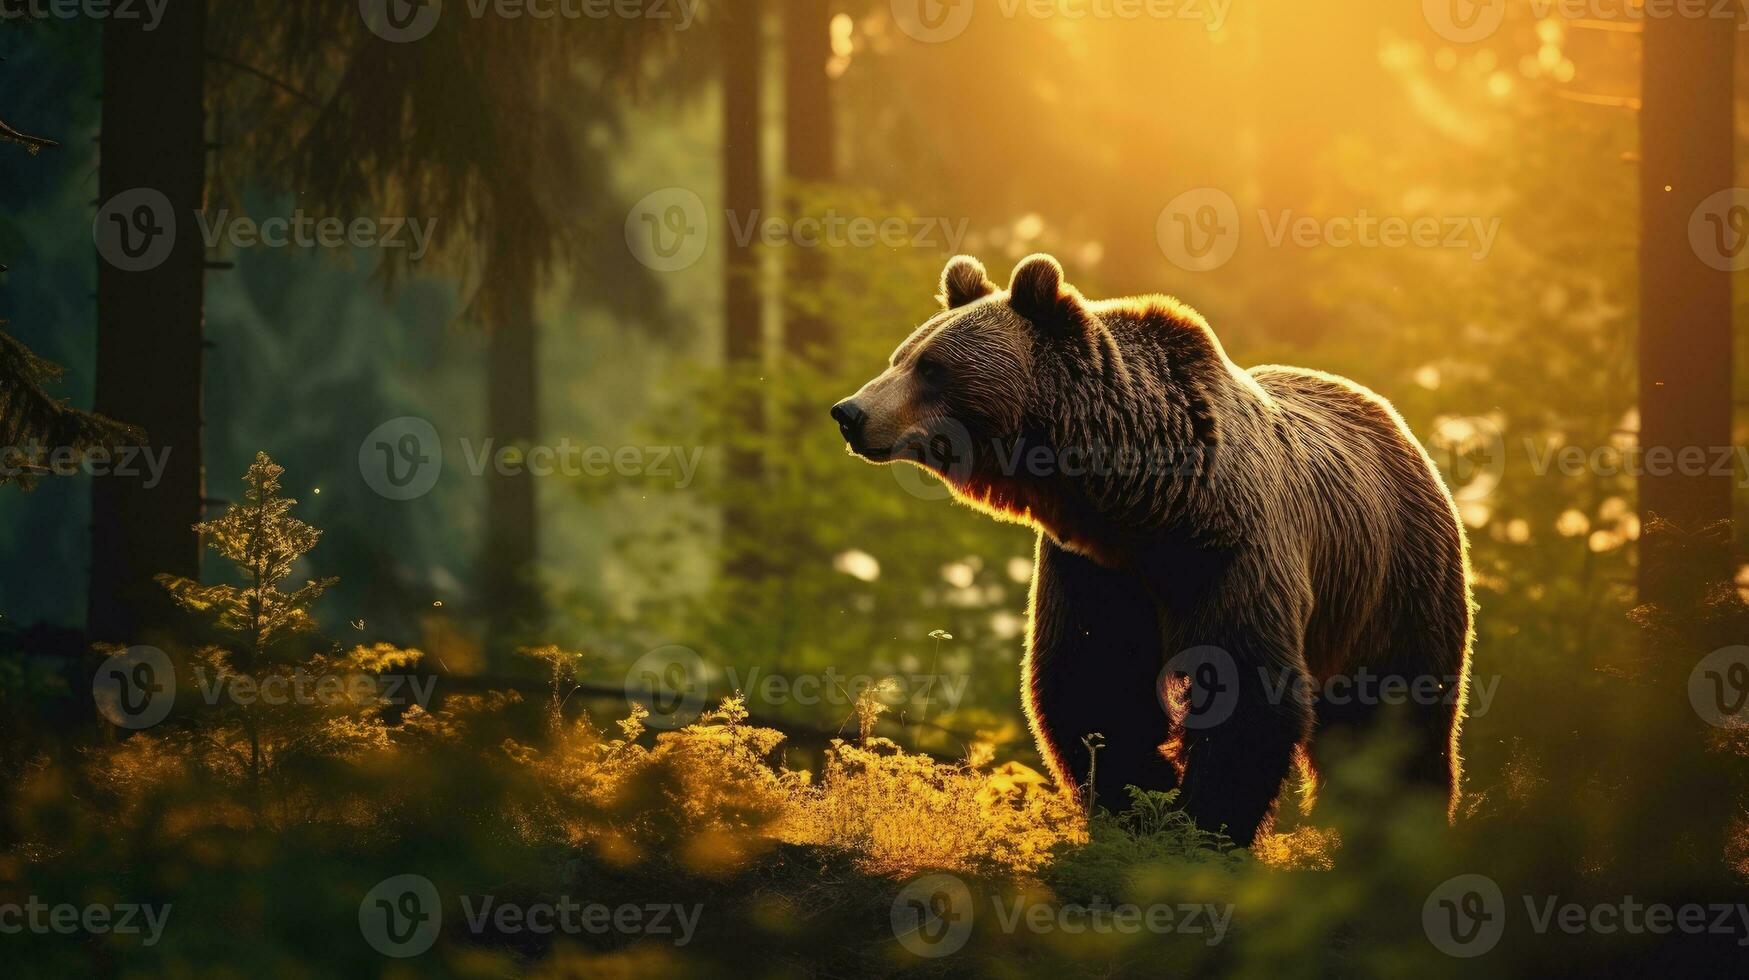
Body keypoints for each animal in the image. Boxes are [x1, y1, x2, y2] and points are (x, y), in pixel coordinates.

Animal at [832, 252, 1476, 843]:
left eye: (931, 367)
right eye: (901, 357)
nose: (849, 412)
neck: (1144, 501)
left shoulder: (1232, 551)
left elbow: (1246, 688)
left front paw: (1204, 822)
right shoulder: (1094, 566)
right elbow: (1092, 678)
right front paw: (1141, 801)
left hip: (1397, 579)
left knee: (1400, 711)